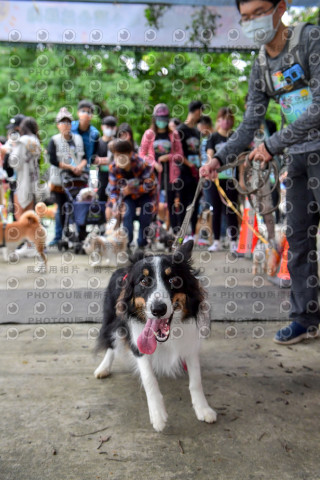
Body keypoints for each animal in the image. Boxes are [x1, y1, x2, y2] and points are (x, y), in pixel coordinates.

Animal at [94, 242, 216, 434]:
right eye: (144, 281)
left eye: (175, 281)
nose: (158, 309)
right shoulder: (138, 345)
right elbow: (149, 379)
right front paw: (158, 415)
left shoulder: (189, 345)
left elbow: (196, 380)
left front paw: (203, 409)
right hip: (112, 320)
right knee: (111, 344)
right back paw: (103, 367)